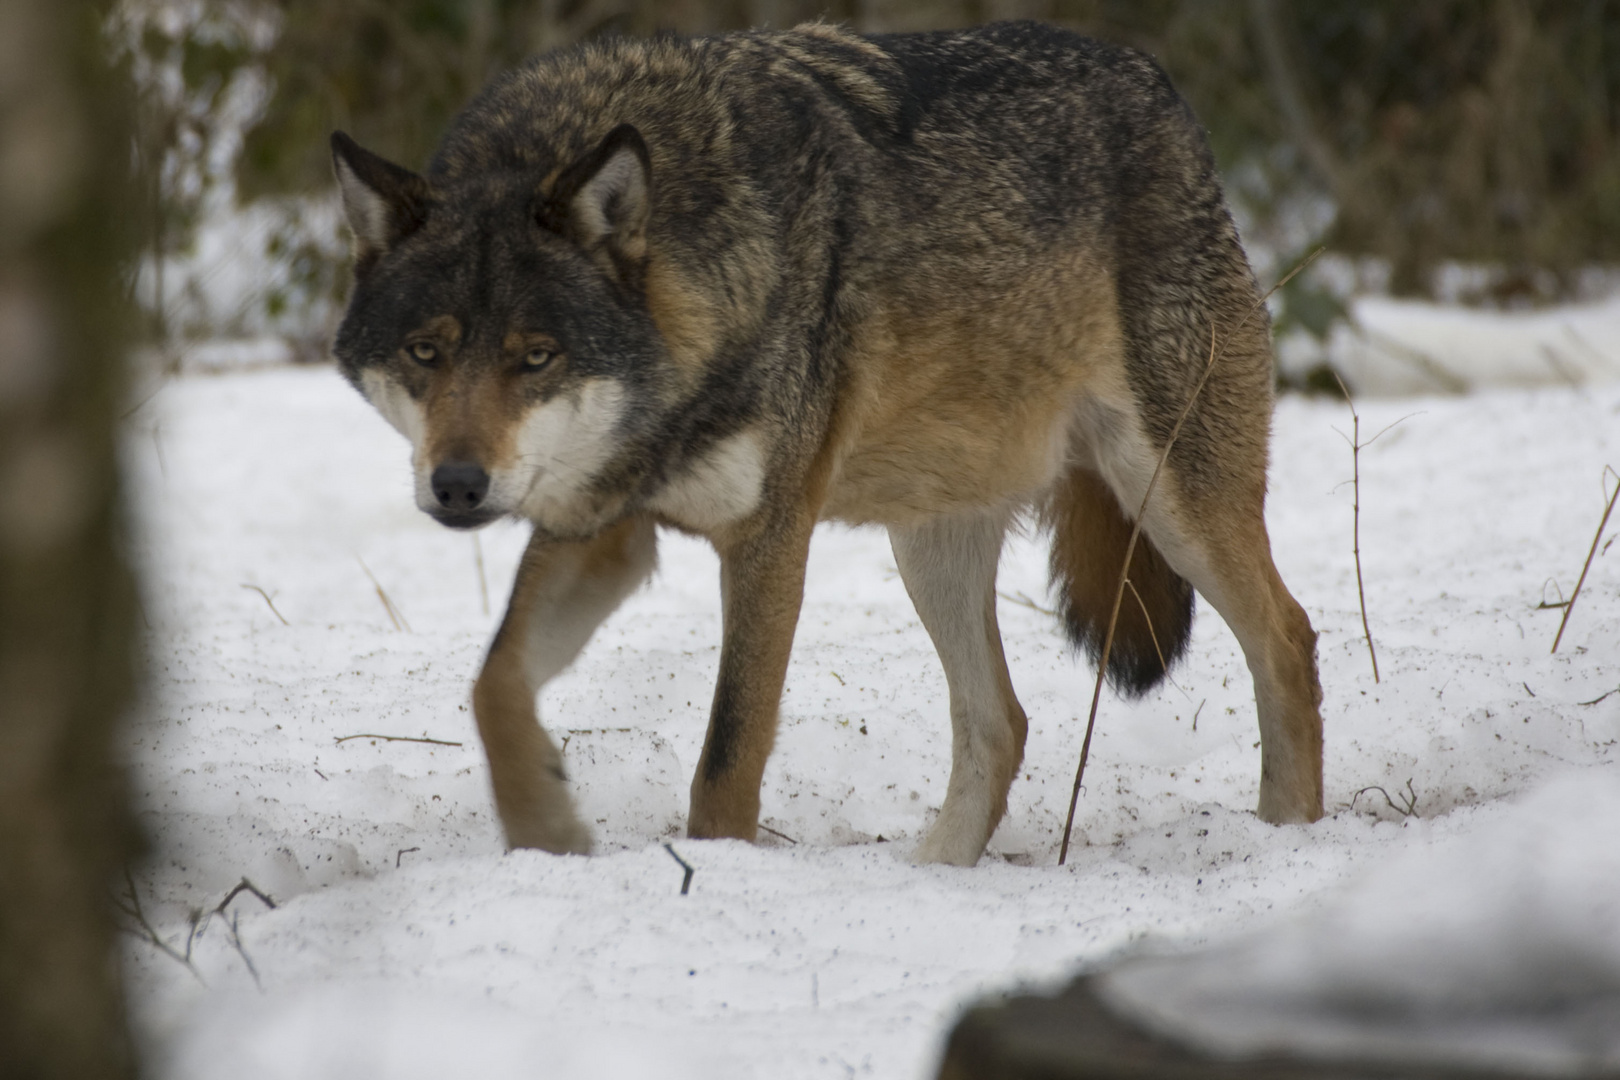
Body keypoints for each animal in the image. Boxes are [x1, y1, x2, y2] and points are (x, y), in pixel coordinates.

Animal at [332, 21, 1328, 867]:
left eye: (535, 357)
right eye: (426, 352)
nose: (459, 485)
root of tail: (1159, 85)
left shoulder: (771, 536)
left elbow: (726, 759)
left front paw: (714, 874)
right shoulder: (603, 524)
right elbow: (494, 685)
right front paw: (548, 833)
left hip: (1170, 497)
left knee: (1287, 638)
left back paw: (1289, 837)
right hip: (931, 544)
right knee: (1001, 722)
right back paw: (928, 882)